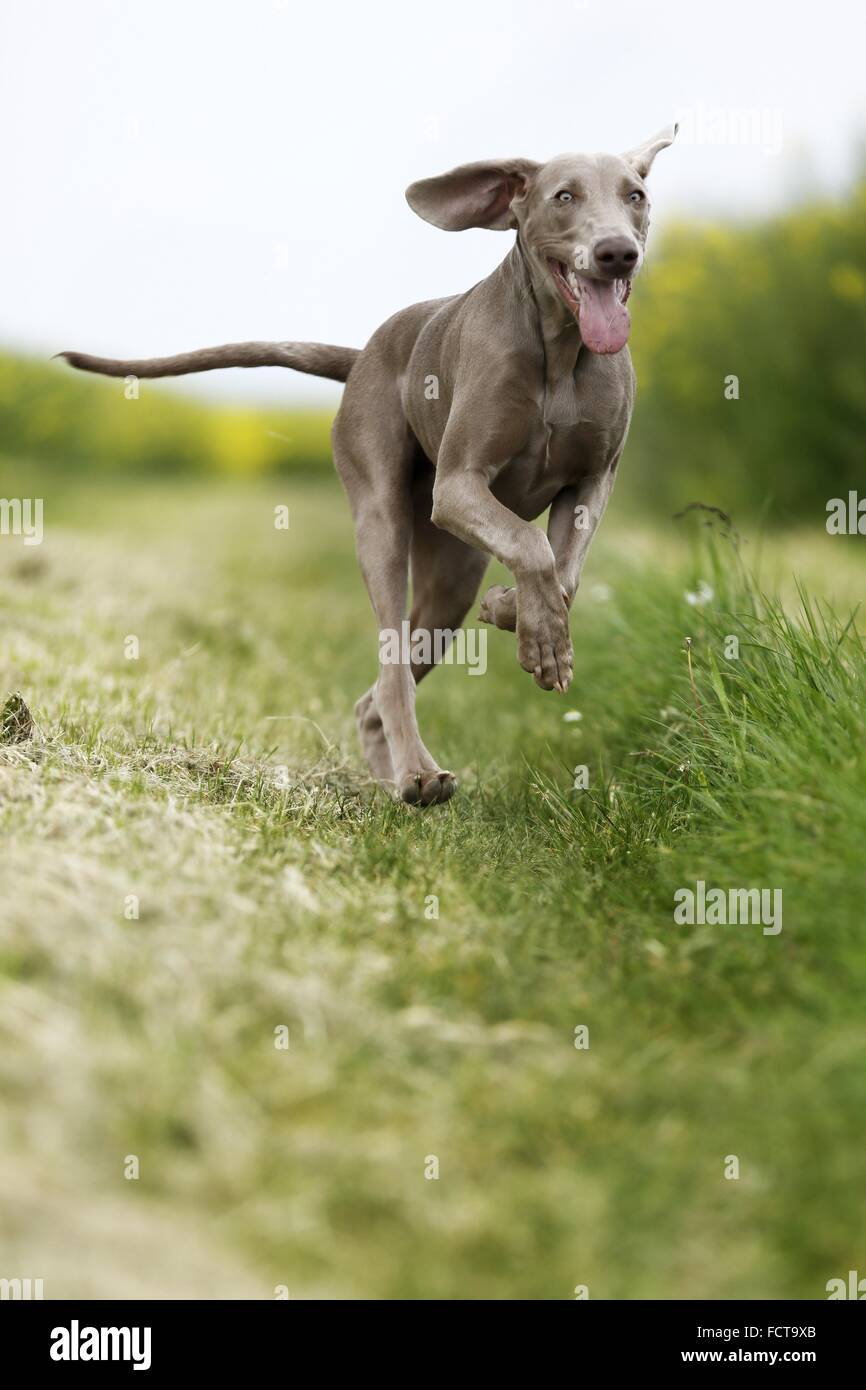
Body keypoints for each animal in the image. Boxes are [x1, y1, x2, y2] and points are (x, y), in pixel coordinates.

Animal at [64, 129, 681, 811]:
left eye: (635, 194)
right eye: (564, 196)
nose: (617, 253)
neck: (562, 352)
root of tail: (362, 355)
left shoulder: (593, 480)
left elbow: (562, 572)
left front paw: (516, 615)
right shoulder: (458, 485)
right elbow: (531, 546)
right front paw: (538, 634)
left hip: (449, 580)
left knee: (385, 684)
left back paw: (400, 772)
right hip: (384, 517)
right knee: (390, 668)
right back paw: (416, 774)